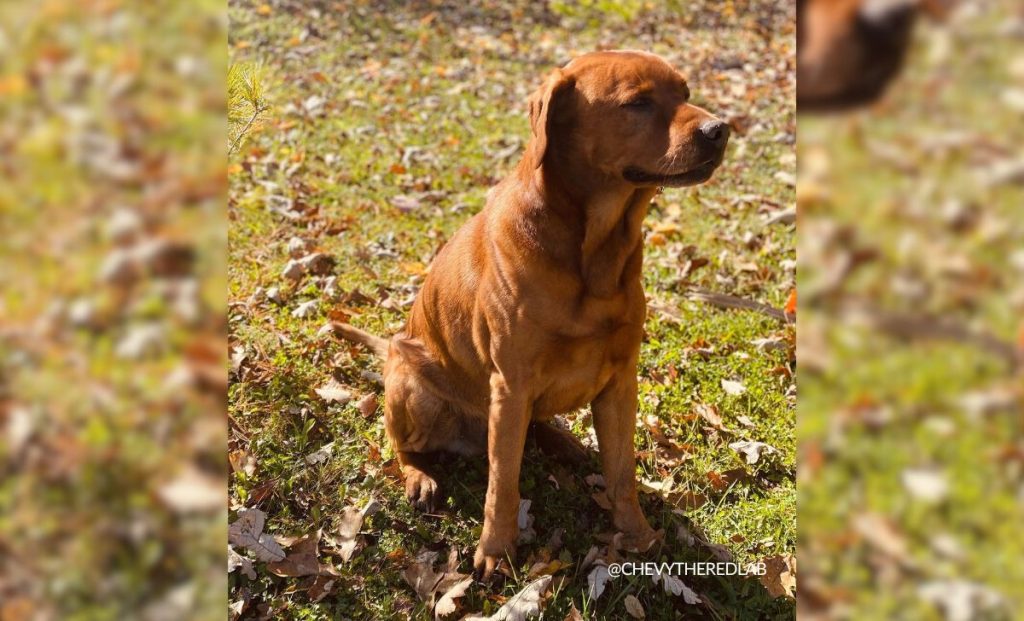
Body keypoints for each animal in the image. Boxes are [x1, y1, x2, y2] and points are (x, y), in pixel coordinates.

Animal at [333, 51, 729, 582]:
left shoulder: (621, 380)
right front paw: (496, 550)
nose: (720, 129)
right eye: (638, 103)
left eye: (685, 93)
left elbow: (622, 473)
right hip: (412, 386)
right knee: (403, 444)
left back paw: (566, 443)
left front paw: (638, 534)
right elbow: (503, 485)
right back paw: (421, 476)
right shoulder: (511, 383)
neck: (593, 253)